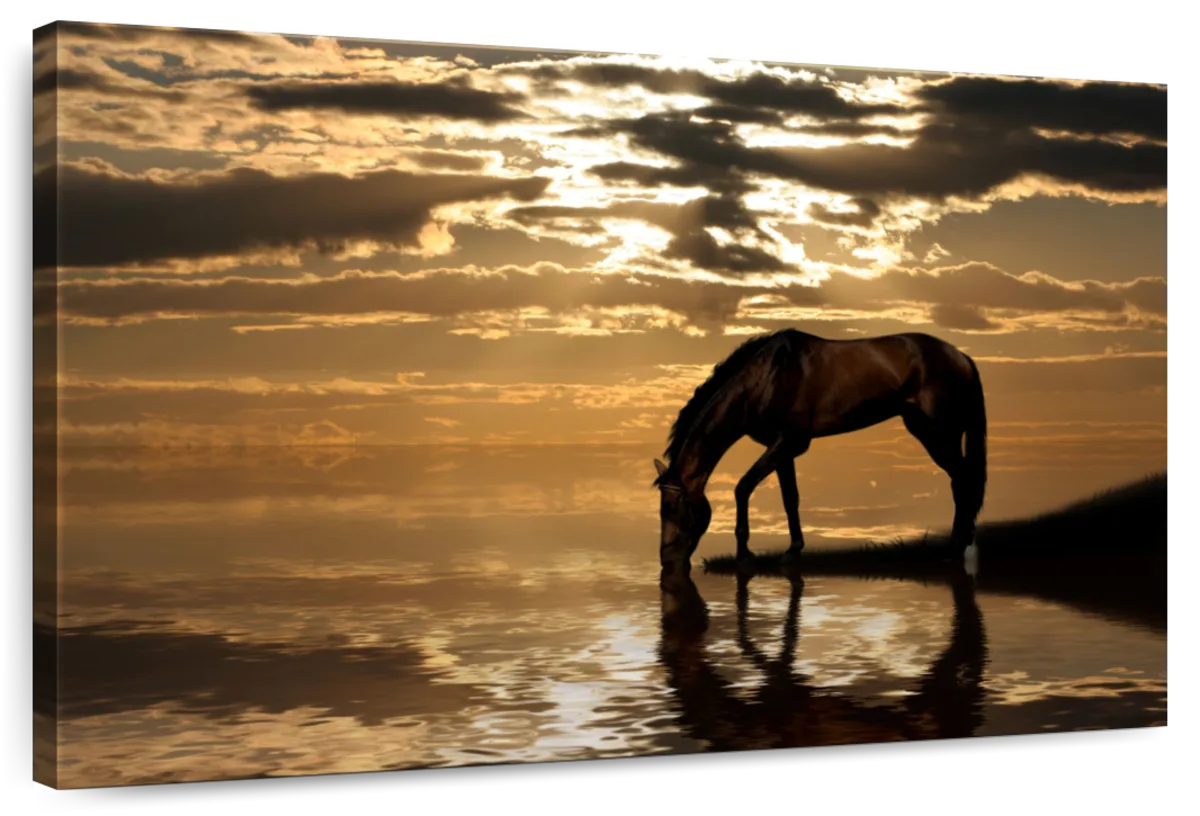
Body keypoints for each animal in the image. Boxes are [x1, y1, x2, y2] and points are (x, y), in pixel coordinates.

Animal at [652, 329, 987, 572]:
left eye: (670, 508)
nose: (667, 562)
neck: (766, 378)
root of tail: (962, 357)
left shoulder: (790, 443)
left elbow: (743, 488)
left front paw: (745, 557)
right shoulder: (782, 449)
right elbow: (790, 498)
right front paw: (792, 552)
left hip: (939, 435)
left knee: (962, 481)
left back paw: (957, 547)